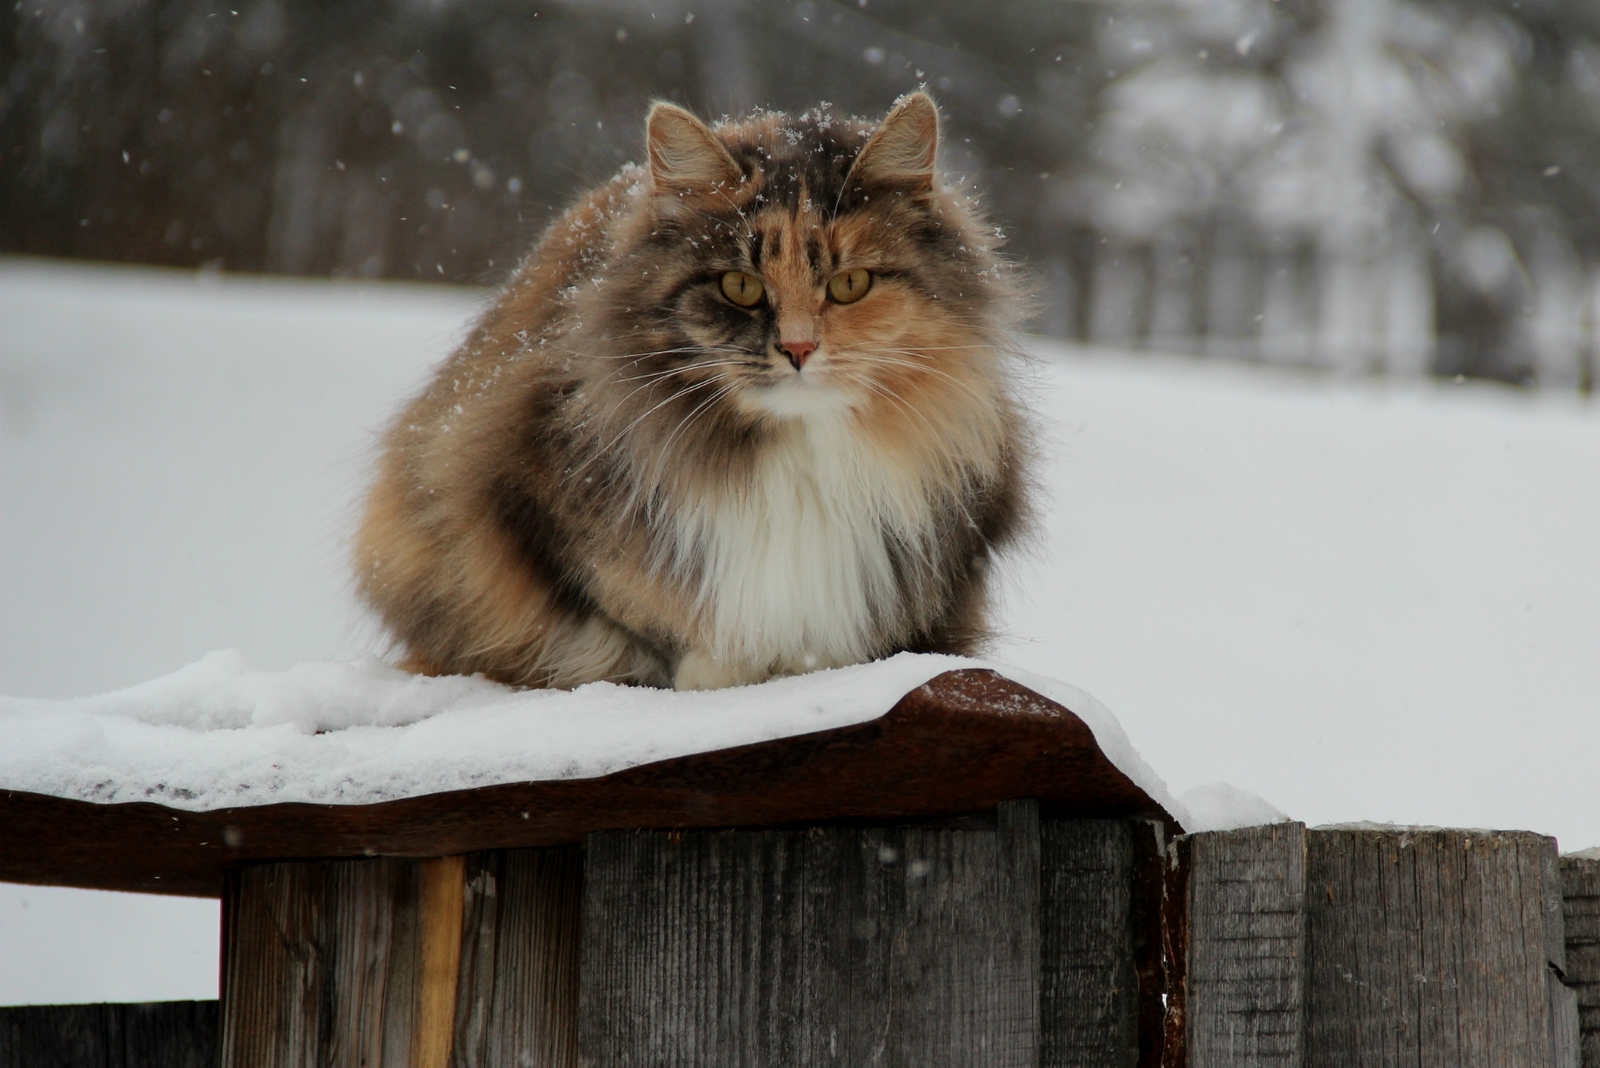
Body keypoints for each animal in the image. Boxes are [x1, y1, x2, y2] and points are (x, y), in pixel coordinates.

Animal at [355, 93, 1030, 693]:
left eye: (850, 285)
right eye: (740, 286)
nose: (799, 349)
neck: (801, 458)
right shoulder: (527, 497)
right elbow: (644, 617)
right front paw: (717, 674)